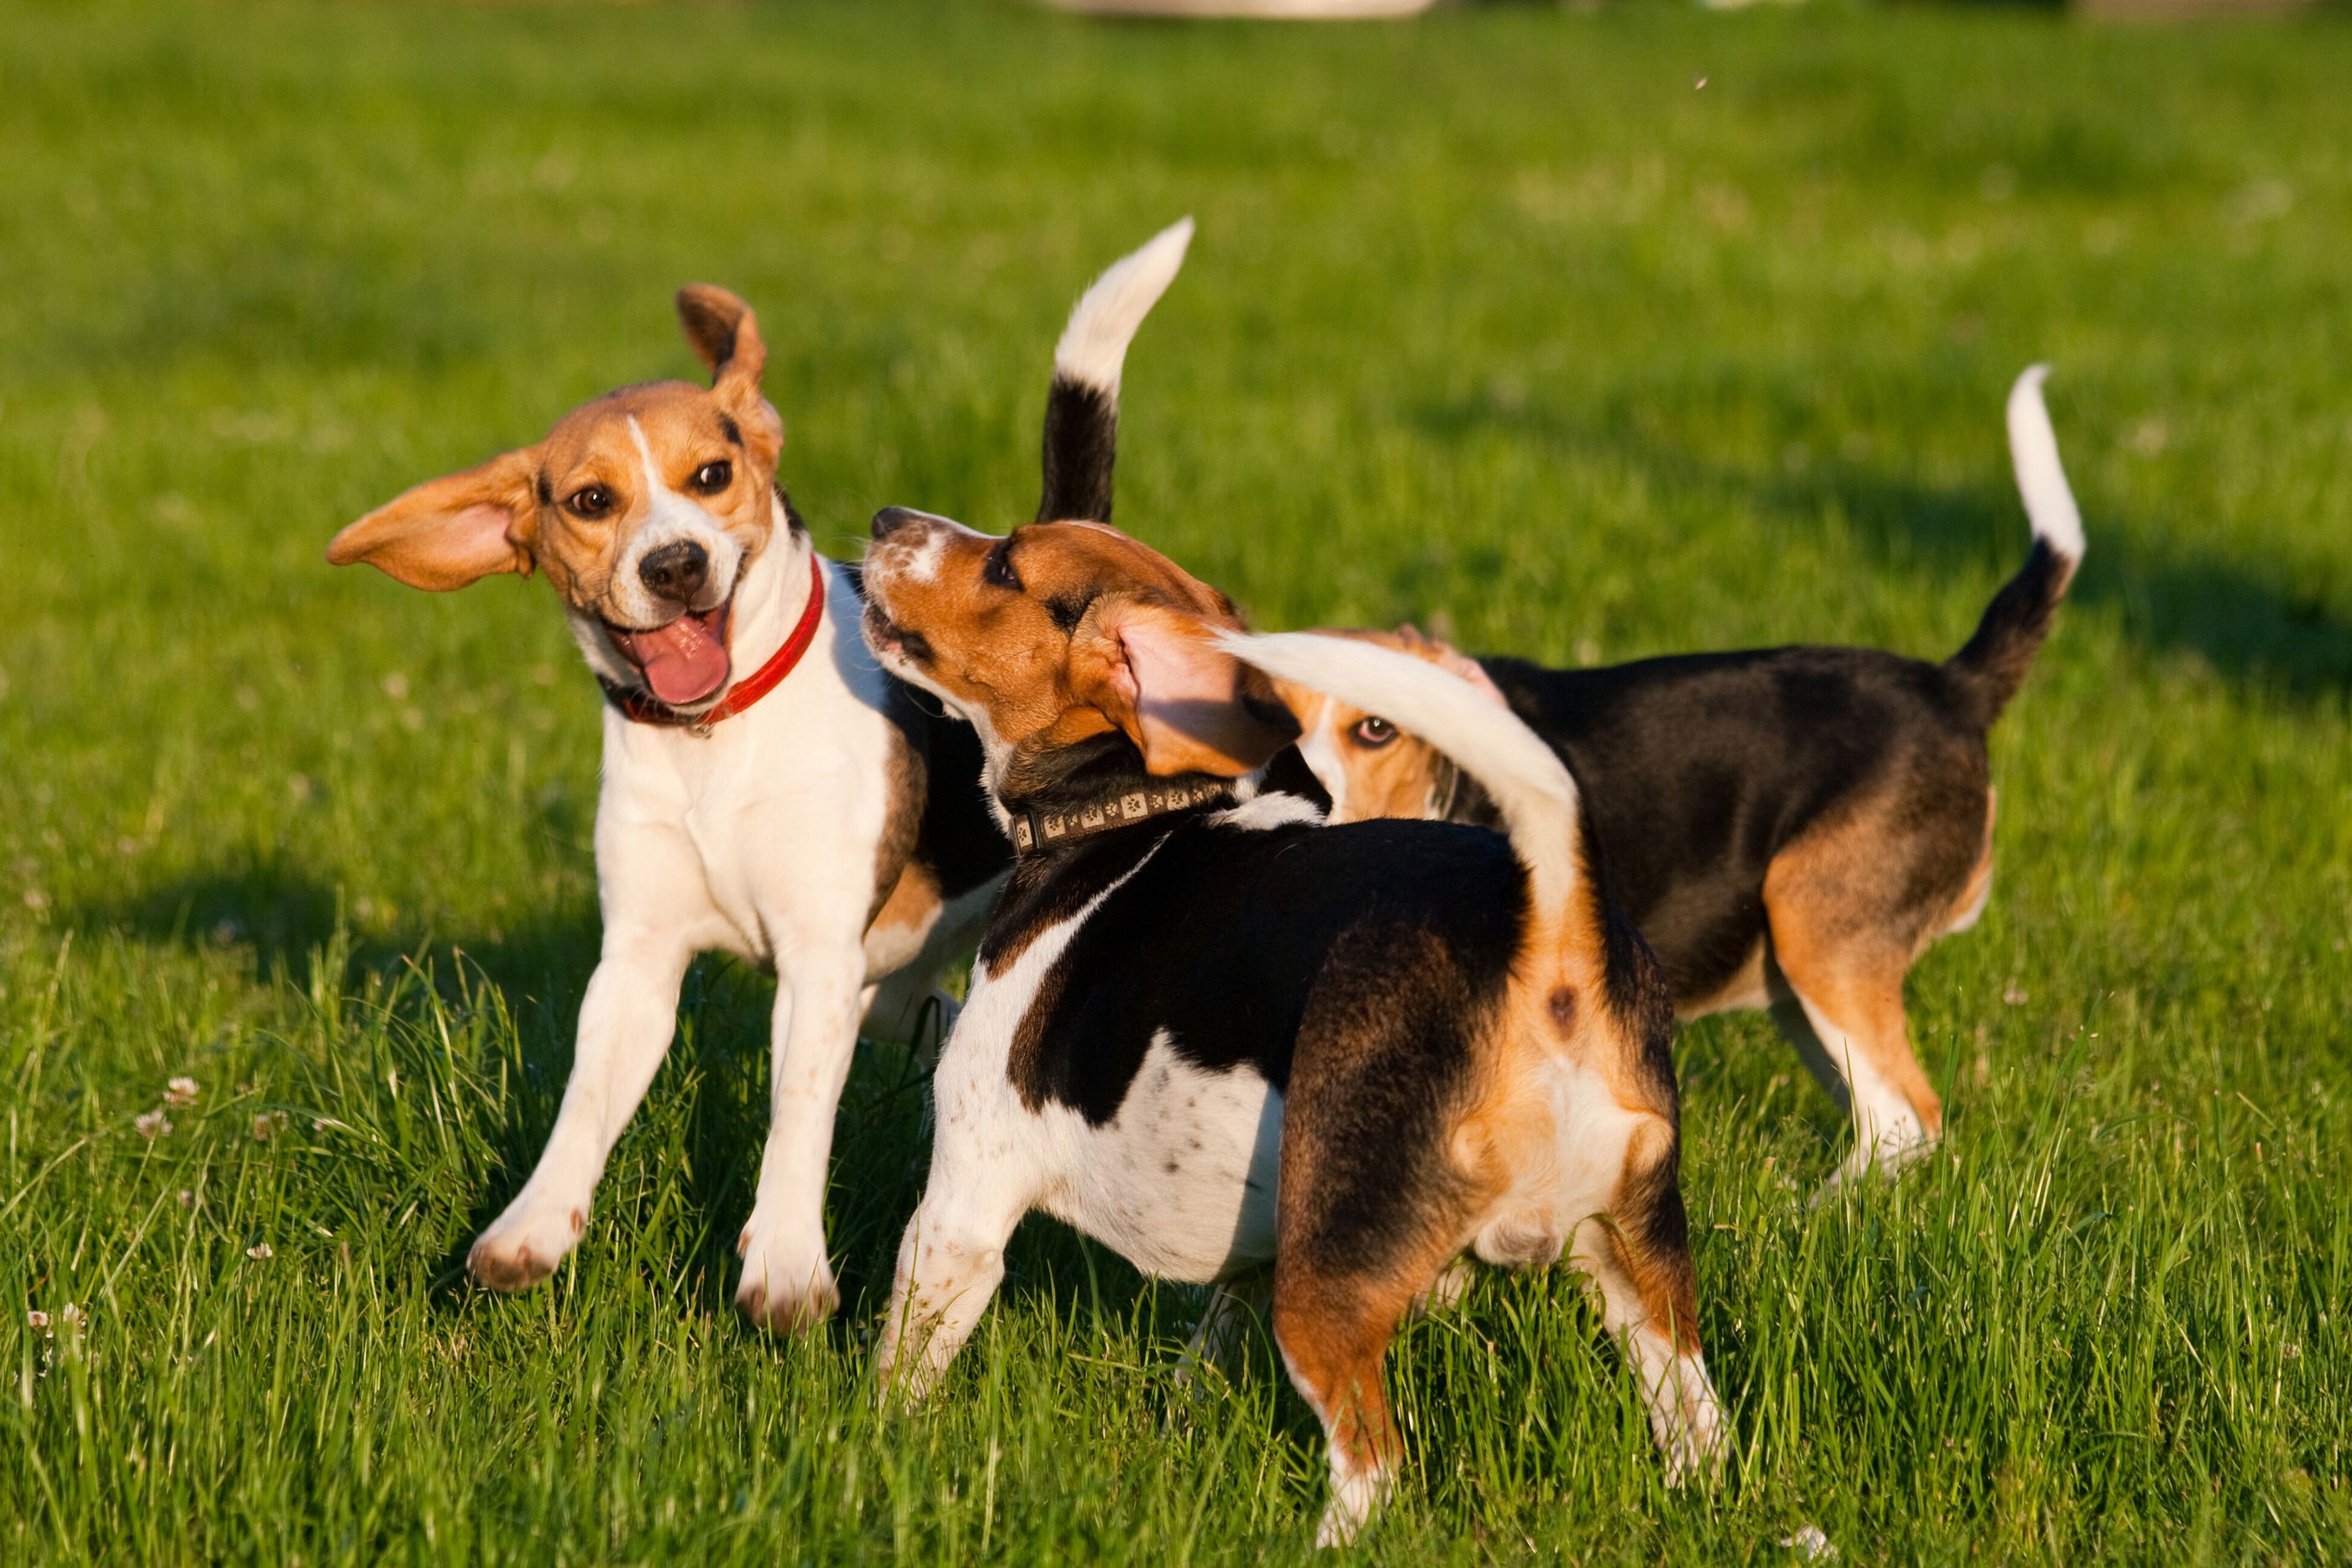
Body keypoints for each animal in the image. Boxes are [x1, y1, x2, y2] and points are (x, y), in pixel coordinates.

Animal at [327, 223, 1194, 1325]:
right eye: (592, 501)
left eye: (709, 476)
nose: (674, 566)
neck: (714, 735)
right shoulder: (641, 958)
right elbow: (585, 1098)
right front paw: (530, 1228)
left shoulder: (816, 959)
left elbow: (796, 1119)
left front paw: (784, 1269)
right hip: (890, 984)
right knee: (933, 1018)